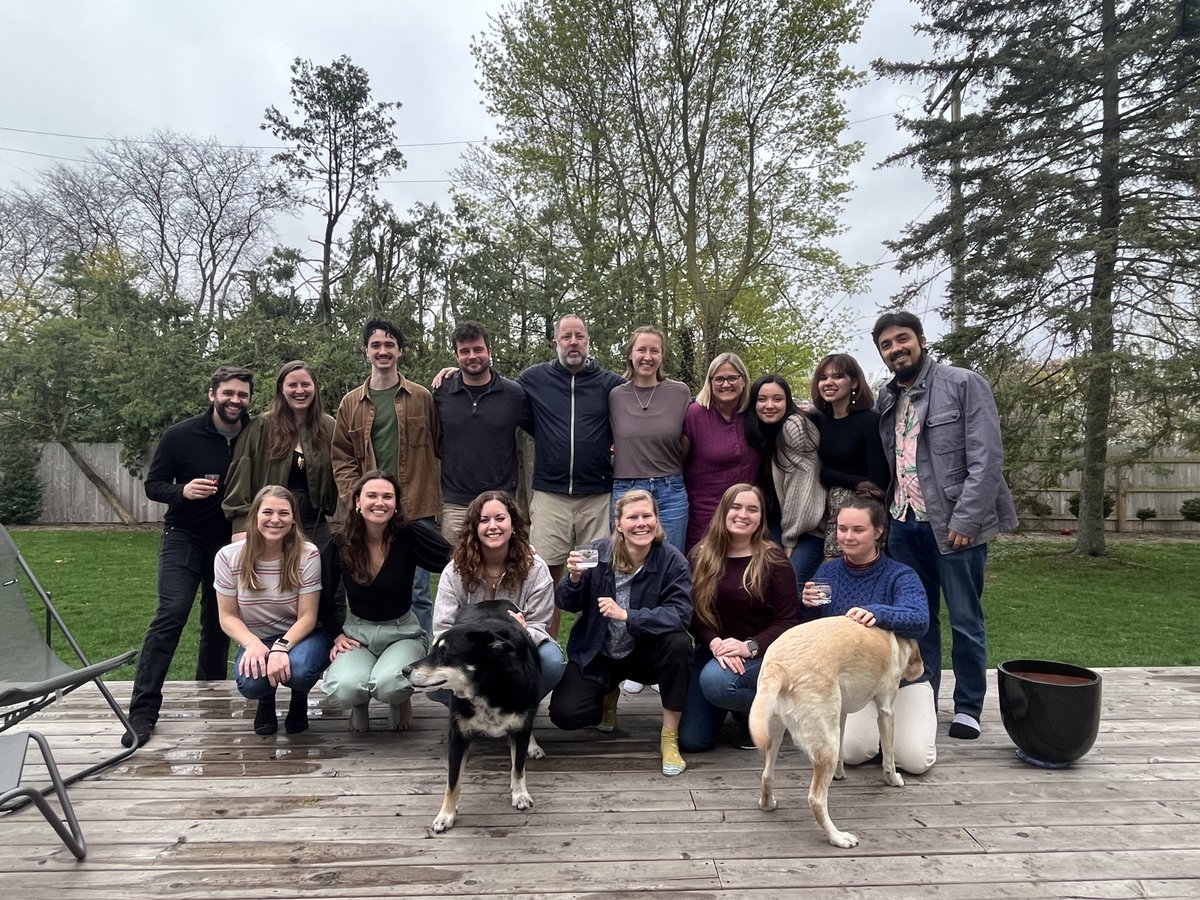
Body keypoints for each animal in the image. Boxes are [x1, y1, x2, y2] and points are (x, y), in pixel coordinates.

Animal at [403, 602, 544, 835]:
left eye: (445, 653)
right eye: (433, 649)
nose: (404, 670)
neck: (489, 686)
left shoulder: (520, 726)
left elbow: (518, 766)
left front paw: (520, 793)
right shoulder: (458, 736)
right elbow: (452, 781)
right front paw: (446, 815)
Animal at [748, 619, 926, 849]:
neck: (895, 641)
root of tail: (778, 666)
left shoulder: (841, 714)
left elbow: (843, 749)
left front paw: (839, 774)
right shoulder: (886, 710)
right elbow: (889, 756)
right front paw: (893, 779)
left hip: (779, 732)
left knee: (767, 775)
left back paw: (767, 804)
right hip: (826, 745)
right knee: (816, 799)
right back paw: (838, 837)